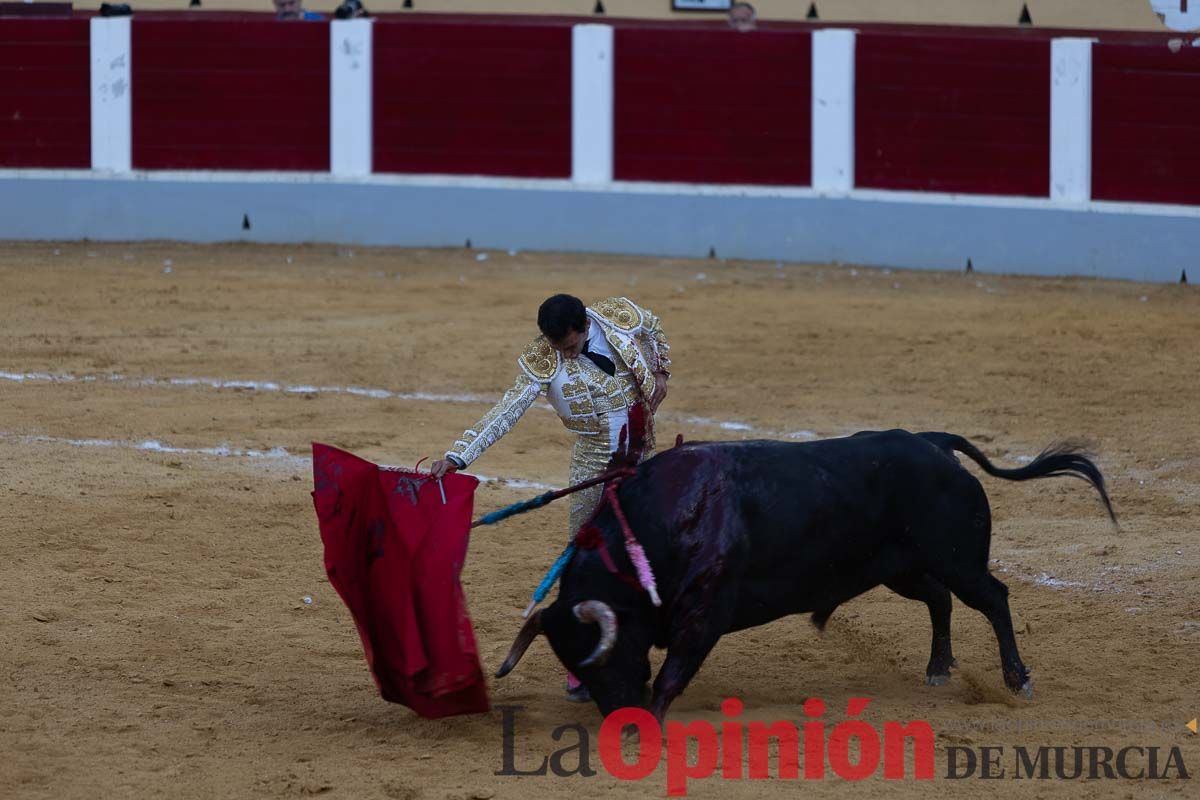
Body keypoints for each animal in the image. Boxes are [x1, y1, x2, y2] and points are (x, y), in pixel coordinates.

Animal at [494, 431, 1113, 719]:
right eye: (575, 664)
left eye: (604, 657)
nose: (618, 717)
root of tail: (933, 443)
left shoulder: (705, 613)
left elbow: (672, 673)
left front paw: (654, 716)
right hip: (902, 569)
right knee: (941, 601)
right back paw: (938, 669)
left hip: (957, 559)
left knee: (993, 598)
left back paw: (1017, 679)